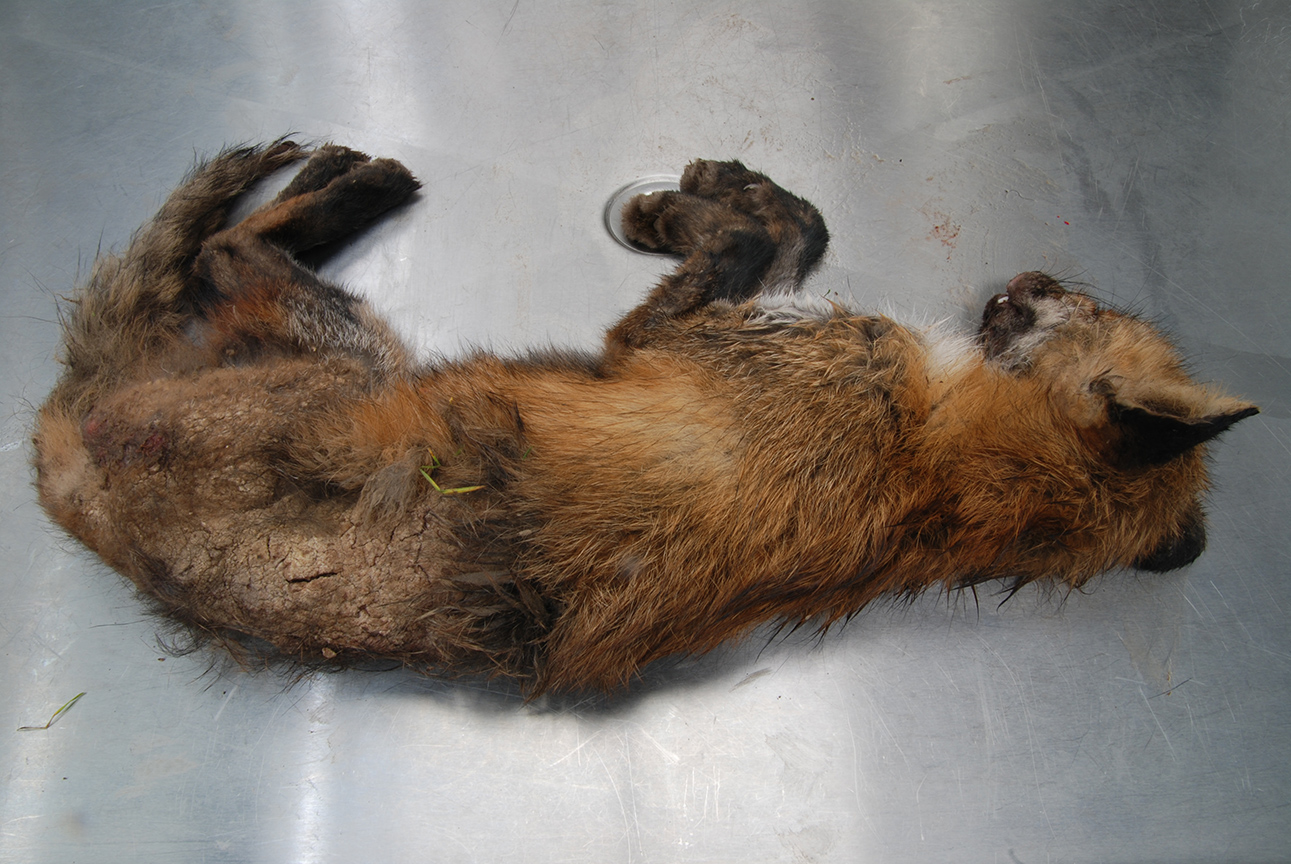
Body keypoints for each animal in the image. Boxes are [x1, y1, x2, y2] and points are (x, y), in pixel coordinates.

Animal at [33, 141, 1258, 693]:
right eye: (1103, 306)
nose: (1040, 274)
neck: (943, 469)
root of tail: (69, 472)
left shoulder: (681, 339)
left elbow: (760, 235)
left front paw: (688, 201)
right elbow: (798, 227)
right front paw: (729, 196)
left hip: (347, 350)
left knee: (230, 249)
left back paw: (337, 178)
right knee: (210, 249)